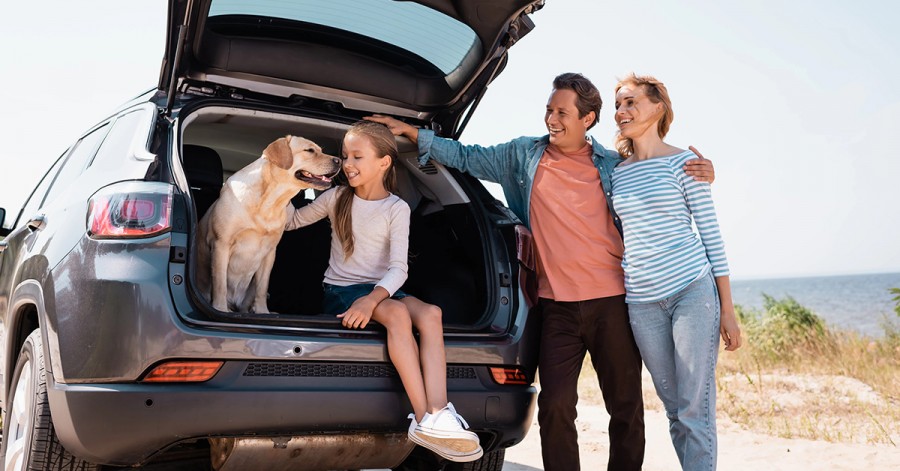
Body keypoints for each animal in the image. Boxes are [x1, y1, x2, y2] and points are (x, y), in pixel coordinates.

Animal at [197, 136, 342, 314]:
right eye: (309, 150)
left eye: (320, 150)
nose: (339, 160)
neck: (269, 201)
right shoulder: (221, 244)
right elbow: (220, 284)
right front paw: (220, 309)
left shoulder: (269, 252)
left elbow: (262, 288)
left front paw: (262, 312)